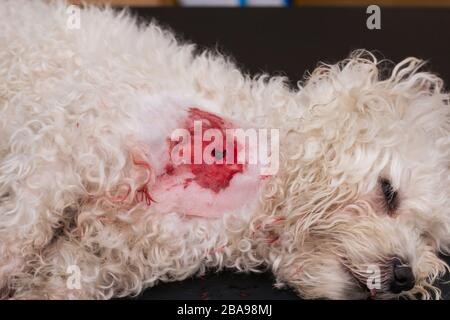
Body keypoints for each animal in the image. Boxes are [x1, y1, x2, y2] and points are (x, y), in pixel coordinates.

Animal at [0, 0, 450, 300]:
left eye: (428, 236)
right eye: (389, 192)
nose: (406, 276)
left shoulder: (105, 255)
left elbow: (58, 276)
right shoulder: (60, 146)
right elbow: (17, 235)